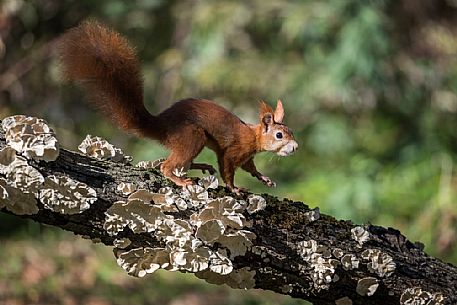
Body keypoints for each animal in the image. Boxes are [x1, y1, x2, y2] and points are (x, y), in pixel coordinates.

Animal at [58, 20, 300, 192]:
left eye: (291, 131)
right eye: (279, 135)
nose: (296, 147)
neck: (254, 136)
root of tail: (160, 125)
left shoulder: (247, 157)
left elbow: (251, 168)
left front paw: (264, 178)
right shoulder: (233, 151)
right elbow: (228, 170)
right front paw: (234, 189)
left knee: (180, 163)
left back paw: (201, 167)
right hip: (192, 135)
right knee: (166, 166)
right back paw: (181, 180)